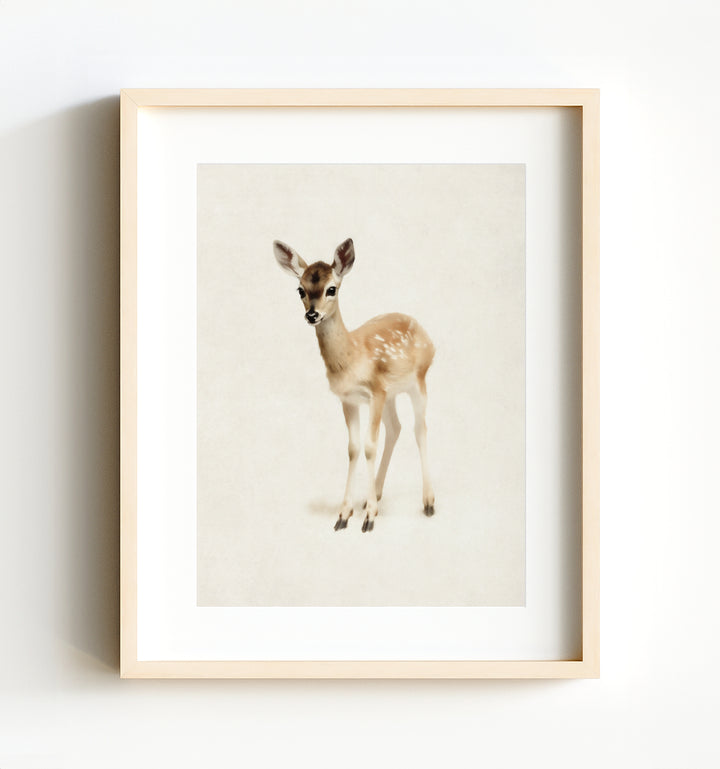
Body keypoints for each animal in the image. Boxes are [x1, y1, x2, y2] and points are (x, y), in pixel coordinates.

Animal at [273, 237, 435, 532]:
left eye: (331, 289)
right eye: (300, 289)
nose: (312, 315)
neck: (352, 359)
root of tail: (427, 335)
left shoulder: (375, 391)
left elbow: (370, 446)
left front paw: (369, 518)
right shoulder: (349, 399)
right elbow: (354, 448)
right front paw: (345, 514)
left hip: (418, 380)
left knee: (419, 428)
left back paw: (428, 502)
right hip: (392, 393)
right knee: (396, 428)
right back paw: (376, 495)